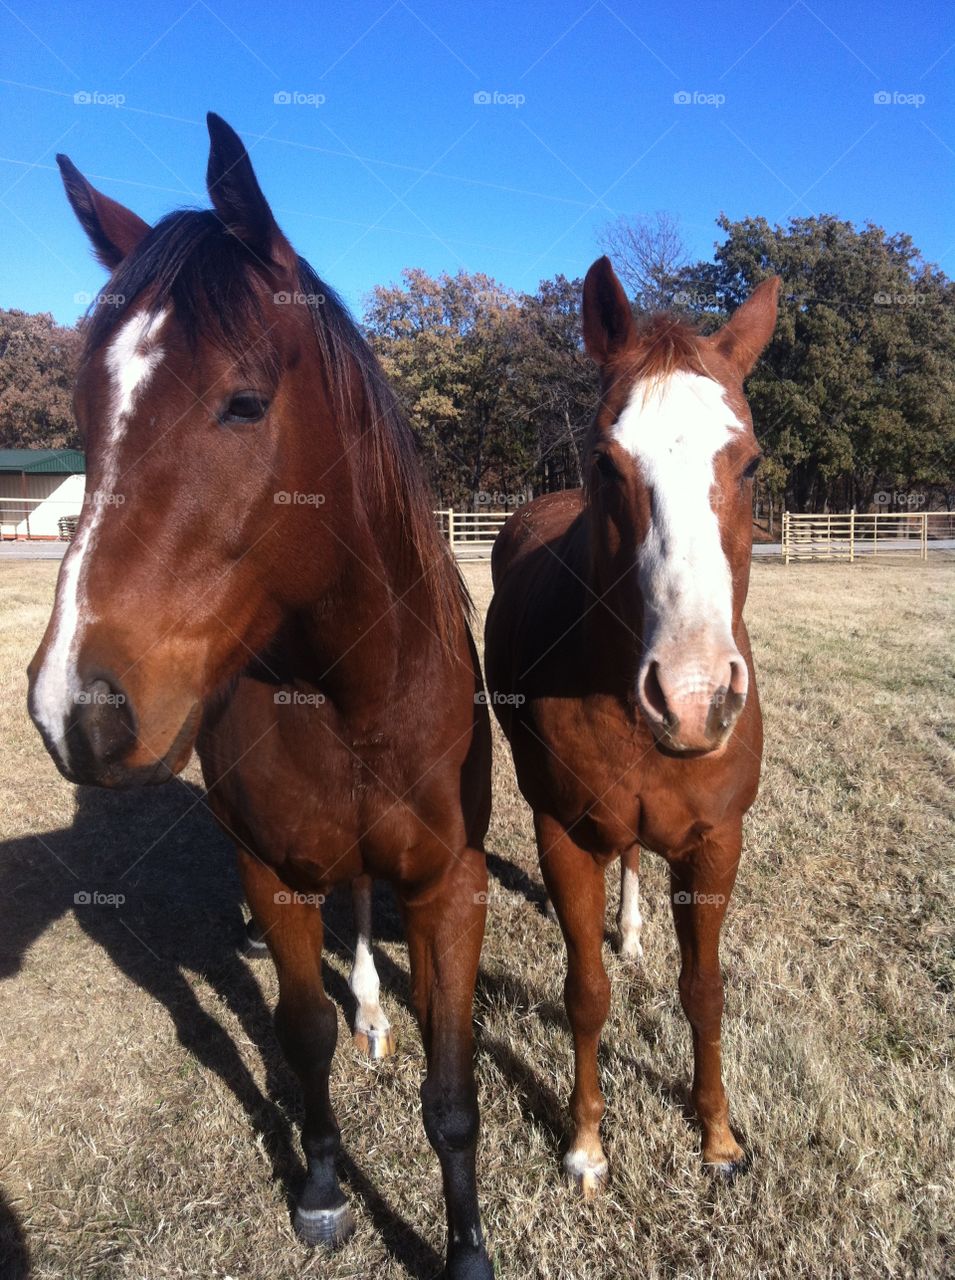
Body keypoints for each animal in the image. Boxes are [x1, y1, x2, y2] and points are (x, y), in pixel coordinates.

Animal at [27, 114, 494, 1280]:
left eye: (242, 402)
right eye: (86, 410)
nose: (77, 708)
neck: (349, 696)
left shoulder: (449, 883)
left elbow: (452, 1088)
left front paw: (465, 1246)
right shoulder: (273, 872)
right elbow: (300, 1033)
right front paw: (323, 1185)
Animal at [484, 256, 779, 1196]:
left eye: (748, 463)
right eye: (606, 464)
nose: (691, 699)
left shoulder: (715, 839)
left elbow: (704, 991)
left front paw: (717, 1138)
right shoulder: (563, 833)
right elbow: (583, 993)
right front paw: (584, 1144)